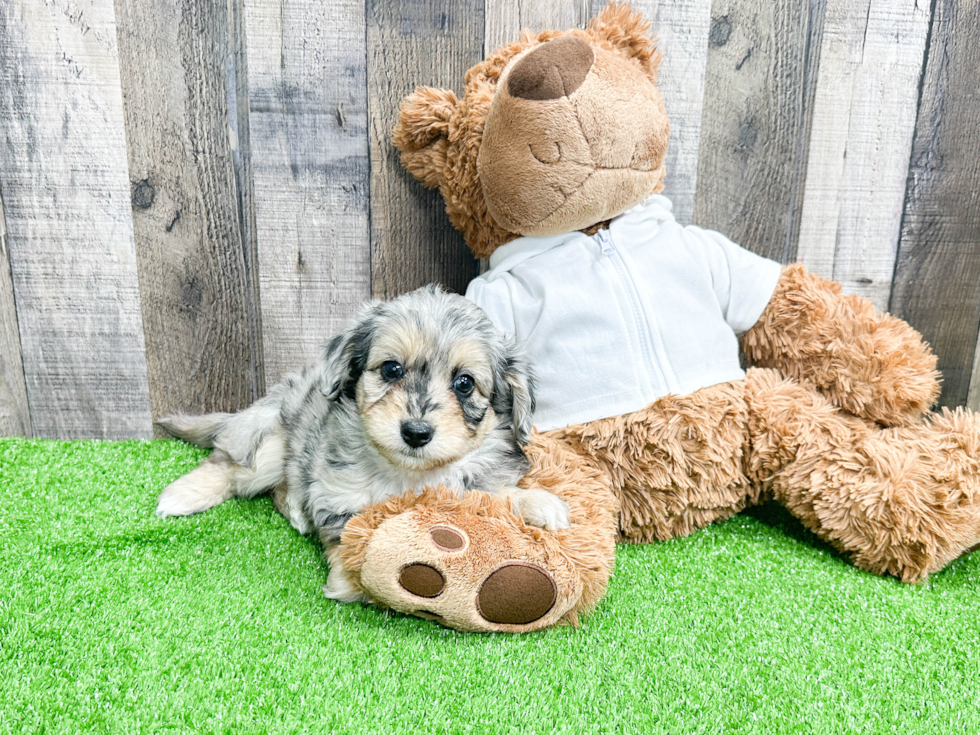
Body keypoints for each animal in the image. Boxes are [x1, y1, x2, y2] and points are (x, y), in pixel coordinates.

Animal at [152, 284, 568, 600]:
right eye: (391, 369)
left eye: (464, 383)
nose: (416, 433)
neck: (407, 474)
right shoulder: (336, 495)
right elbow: (346, 533)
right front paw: (350, 581)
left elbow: (490, 496)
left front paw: (538, 503)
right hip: (266, 446)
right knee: (226, 464)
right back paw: (182, 496)